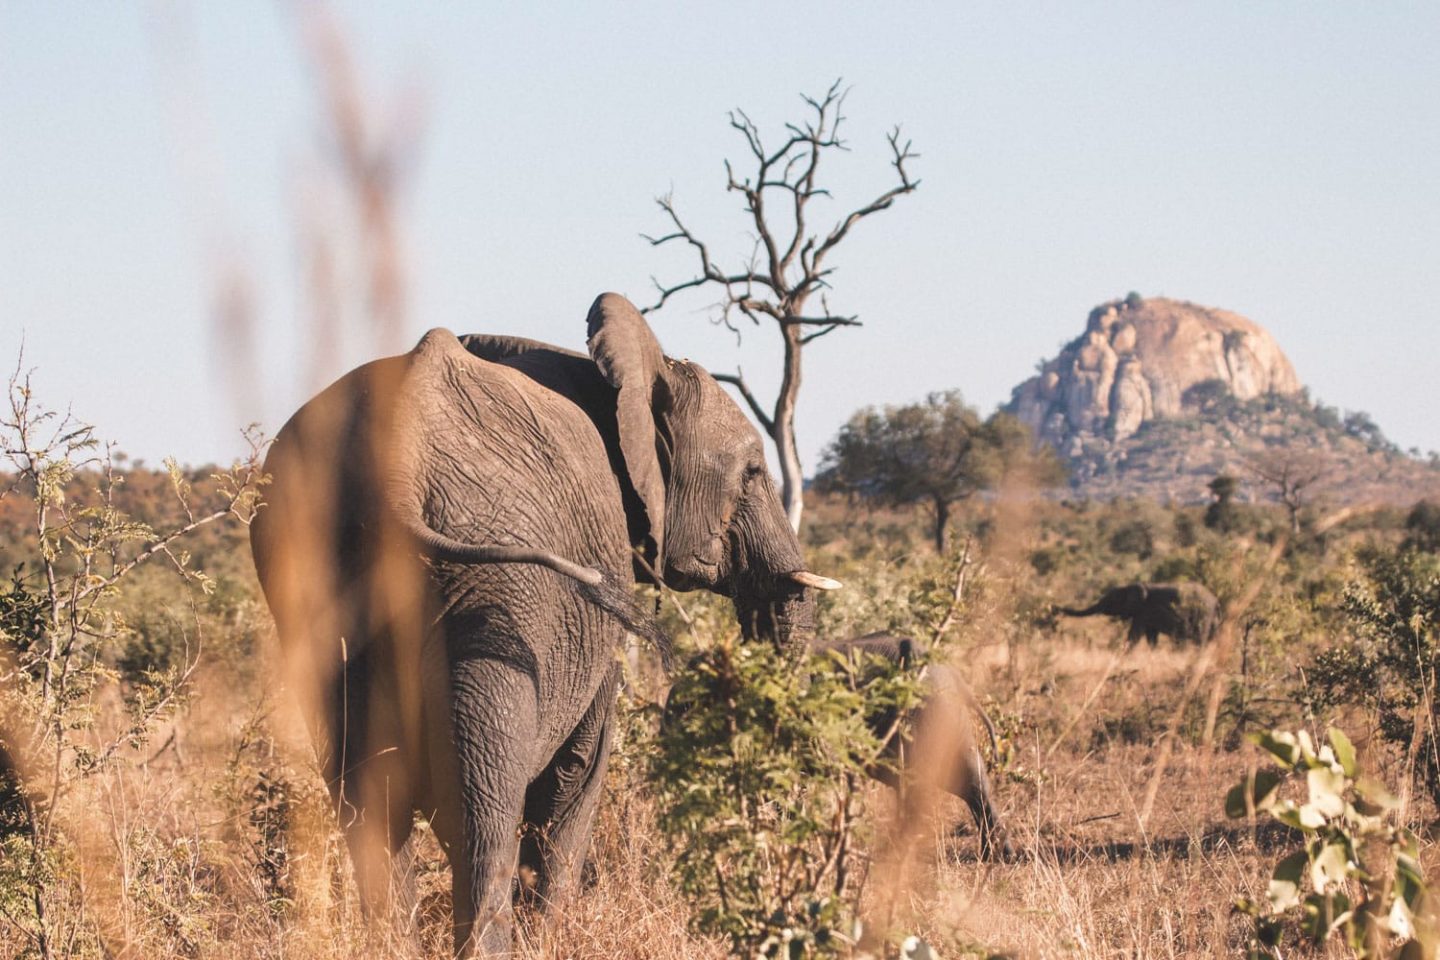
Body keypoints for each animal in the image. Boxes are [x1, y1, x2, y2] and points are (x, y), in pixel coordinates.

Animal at [246, 293, 835, 955]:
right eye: (754, 472)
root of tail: (399, 466)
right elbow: (581, 767)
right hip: (501, 592)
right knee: (484, 801)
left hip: (317, 569)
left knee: (367, 790)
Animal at [1059, 581, 1215, 650]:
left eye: (1111, 600)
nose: (1056, 608)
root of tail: (1215, 600)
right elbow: (1151, 636)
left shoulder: (1143, 611)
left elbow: (1135, 634)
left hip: (1204, 614)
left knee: (1200, 637)